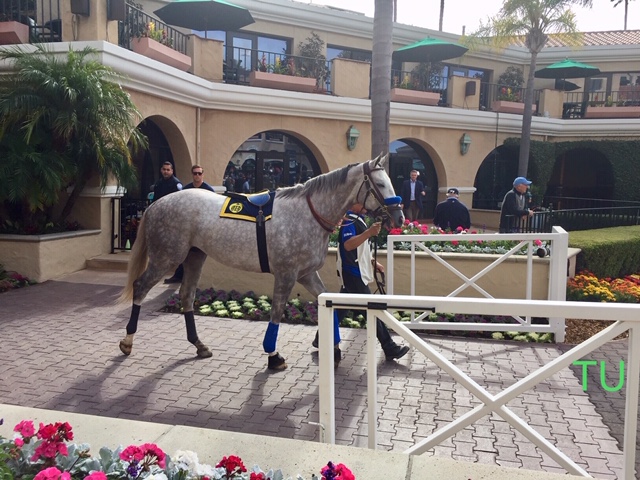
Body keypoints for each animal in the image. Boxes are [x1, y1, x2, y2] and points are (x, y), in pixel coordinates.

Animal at [117, 156, 402, 370]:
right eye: (379, 183)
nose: (399, 217)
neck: (308, 213)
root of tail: (156, 204)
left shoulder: (306, 274)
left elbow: (327, 304)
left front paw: (333, 348)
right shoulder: (286, 274)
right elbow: (276, 313)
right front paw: (273, 356)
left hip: (194, 256)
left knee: (187, 296)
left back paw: (198, 344)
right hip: (167, 257)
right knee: (140, 287)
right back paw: (127, 340)